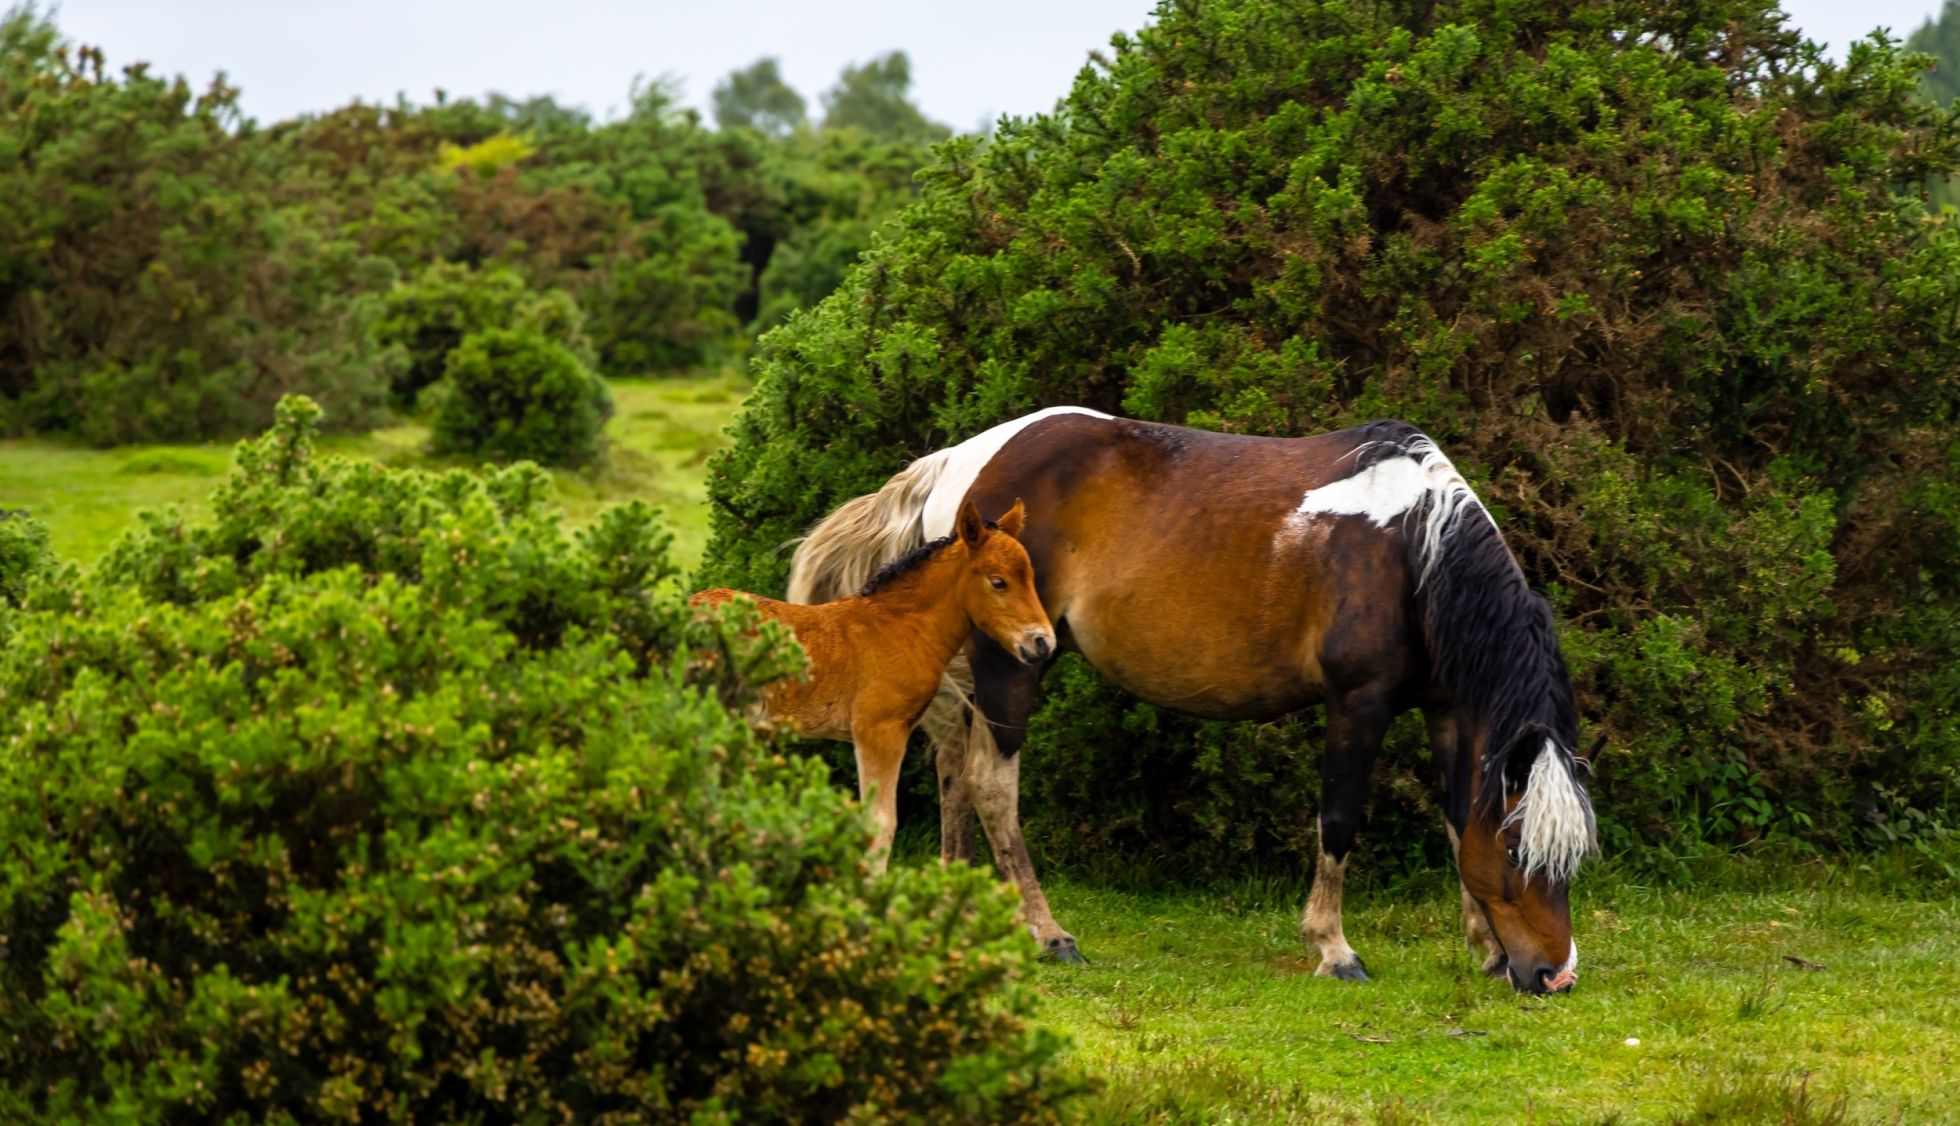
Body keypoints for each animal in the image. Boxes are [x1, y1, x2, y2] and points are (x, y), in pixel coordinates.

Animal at [693, 498, 1055, 875]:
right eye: (998, 582)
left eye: (1030, 577)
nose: (1042, 643)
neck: (902, 627)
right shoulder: (879, 730)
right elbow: (880, 822)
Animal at [785, 408, 1594, 994]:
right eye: (1519, 851)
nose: (1554, 975)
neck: (1411, 548)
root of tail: (956, 462)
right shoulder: (1357, 703)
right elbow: (1339, 823)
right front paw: (1334, 949)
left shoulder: (1447, 709)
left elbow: (1459, 820)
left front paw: (1484, 947)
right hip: (1010, 664)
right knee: (990, 784)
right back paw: (1049, 934)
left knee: (954, 770)